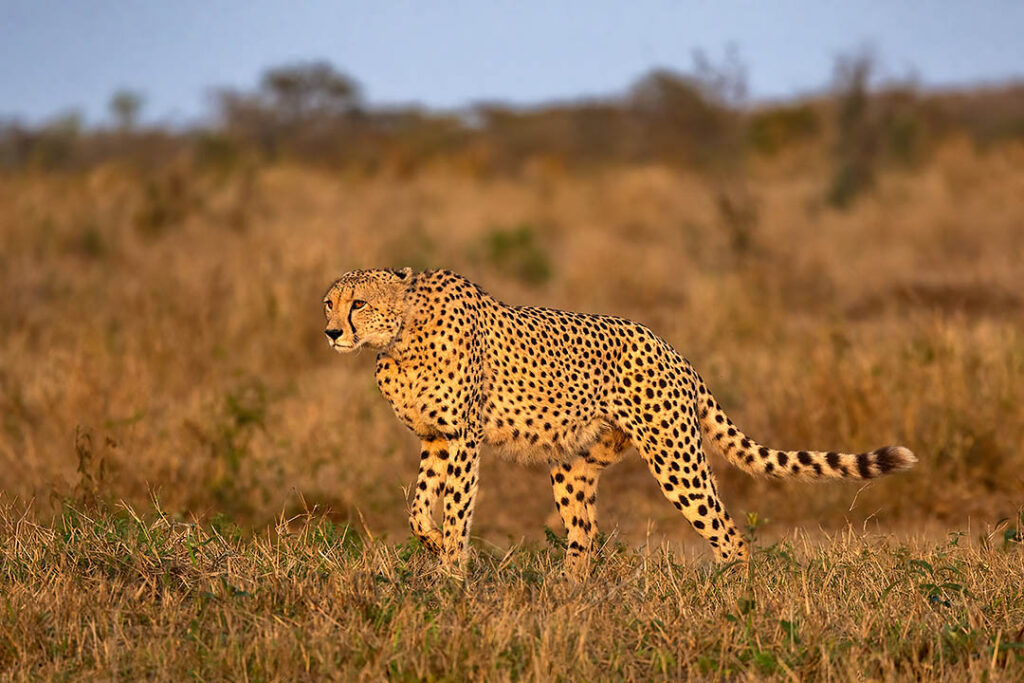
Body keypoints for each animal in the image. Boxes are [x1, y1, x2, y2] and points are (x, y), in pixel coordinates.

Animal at [322, 268, 917, 577]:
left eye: (359, 303)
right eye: (330, 303)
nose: (331, 332)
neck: (400, 337)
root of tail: (674, 350)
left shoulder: (463, 438)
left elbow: (457, 511)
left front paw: (450, 576)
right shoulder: (436, 438)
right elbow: (418, 503)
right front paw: (429, 543)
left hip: (675, 459)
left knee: (729, 535)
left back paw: (732, 599)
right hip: (574, 465)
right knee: (583, 539)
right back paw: (568, 602)